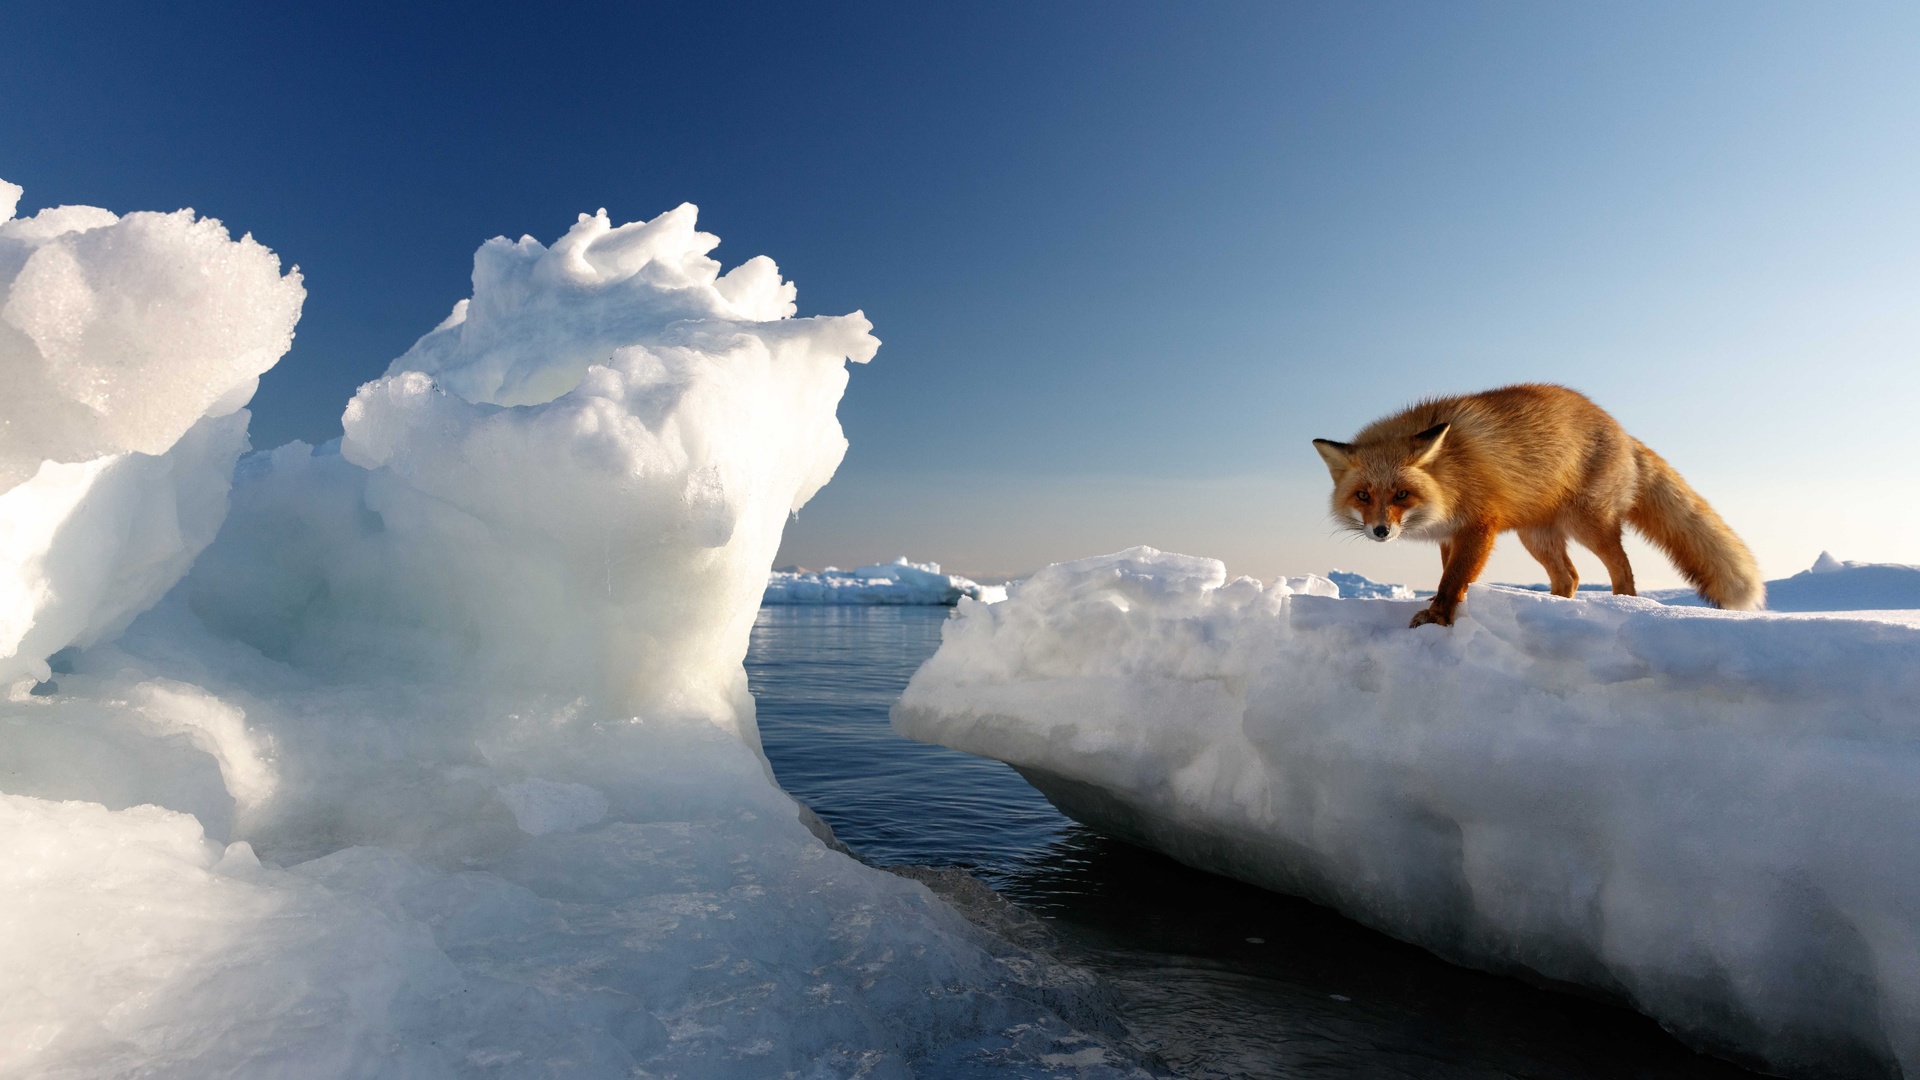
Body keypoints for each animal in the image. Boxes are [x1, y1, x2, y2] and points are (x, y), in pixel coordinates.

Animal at [1313, 382, 1758, 626]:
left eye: (1401, 494)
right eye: (1363, 495)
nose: (1381, 531)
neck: (1450, 473)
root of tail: (1621, 430)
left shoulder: (1479, 525)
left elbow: (1454, 578)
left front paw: (1439, 617)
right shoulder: (1449, 535)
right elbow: (1448, 575)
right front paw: (1447, 604)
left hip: (1588, 524)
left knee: (1622, 570)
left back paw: (1625, 604)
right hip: (1537, 537)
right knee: (1570, 578)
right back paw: (1555, 608)